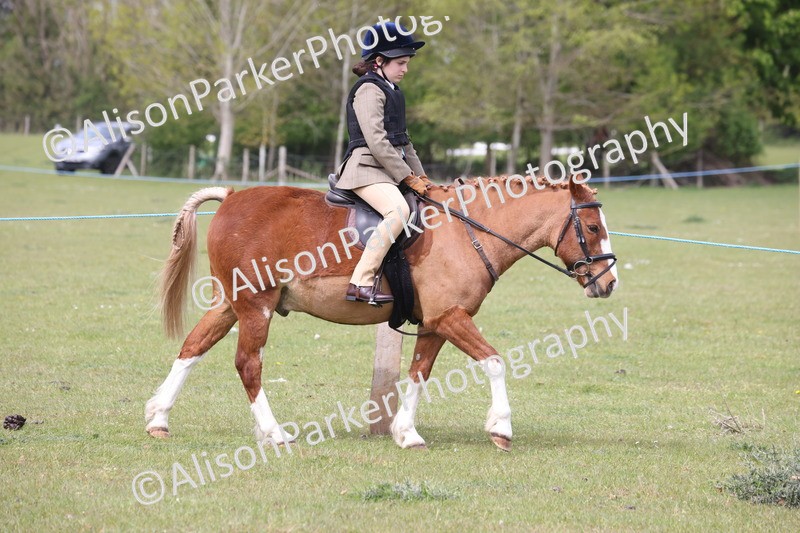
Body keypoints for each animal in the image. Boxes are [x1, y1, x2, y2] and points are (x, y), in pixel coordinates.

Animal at [145, 175, 618, 451]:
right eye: (593, 227)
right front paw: (501, 428)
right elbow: (495, 362)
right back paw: (274, 433)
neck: (467, 230)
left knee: (192, 348)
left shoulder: (435, 324)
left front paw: (405, 432)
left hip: (230, 304)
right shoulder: (450, 317)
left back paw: (159, 418)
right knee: (248, 364)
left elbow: (418, 374)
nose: (609, 283)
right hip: (255, 306)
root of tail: (231, 197)